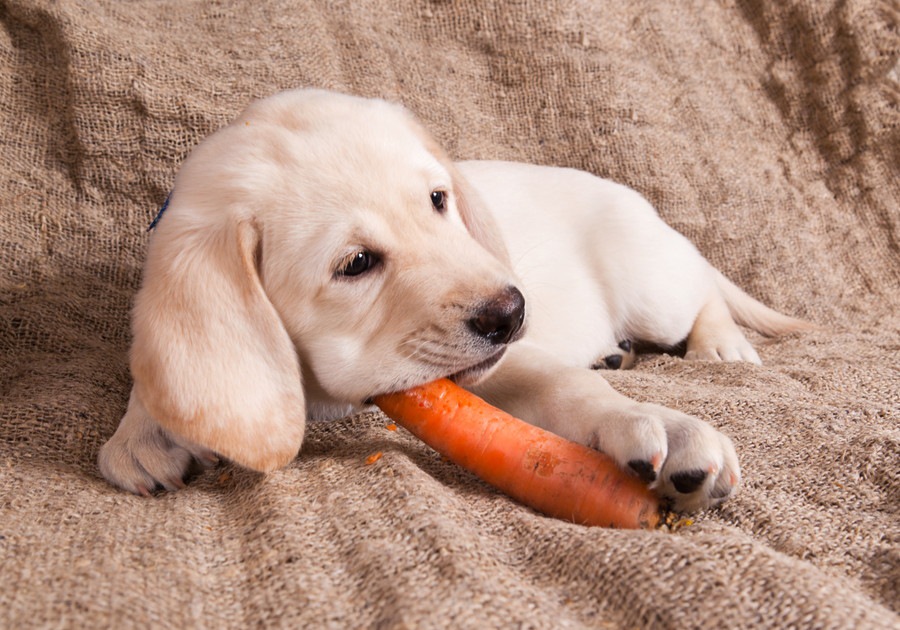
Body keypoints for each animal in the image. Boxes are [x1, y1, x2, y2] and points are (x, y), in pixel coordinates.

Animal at [100, 89, 816, 512]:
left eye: (438, 200)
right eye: (356, 264)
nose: (513, 312)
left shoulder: (505, 364)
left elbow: (570, 389)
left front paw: (660, 425)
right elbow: (158, 368)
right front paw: (143, 431)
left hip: (653, 285)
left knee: (702, 289)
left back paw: (721, 344)